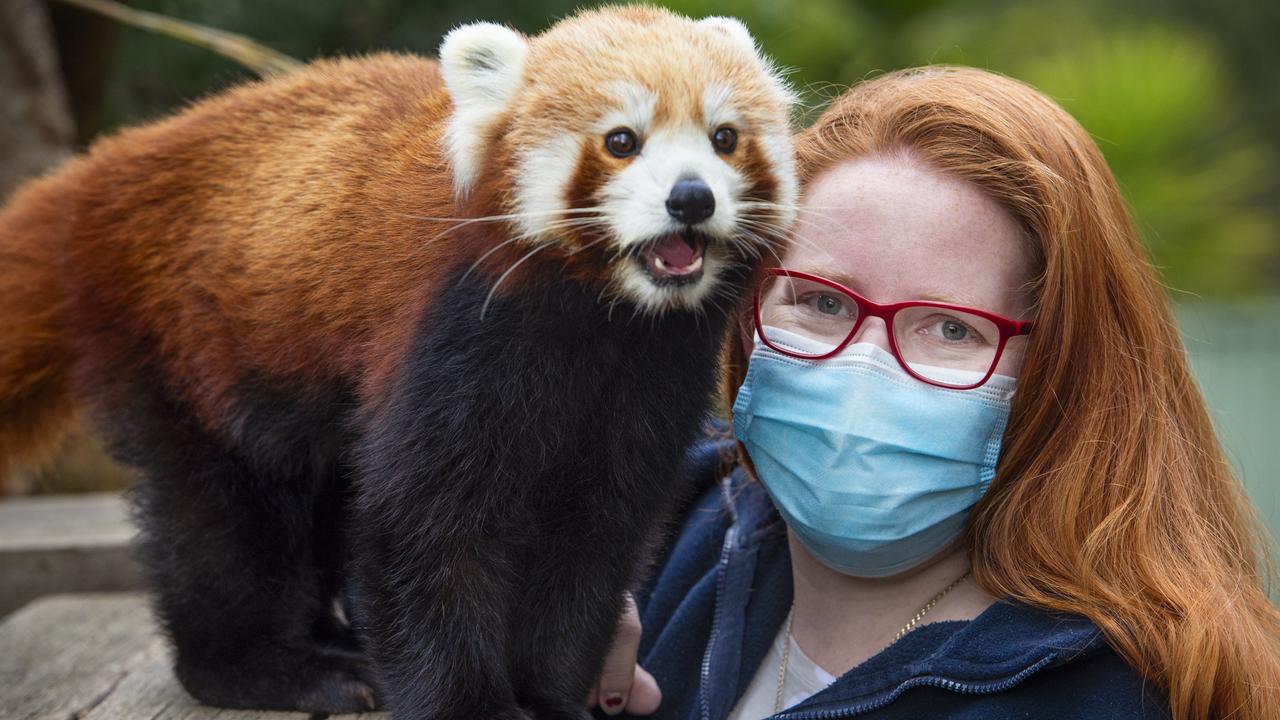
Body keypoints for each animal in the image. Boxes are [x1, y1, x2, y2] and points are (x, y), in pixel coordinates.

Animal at [0, 4, 793, 712]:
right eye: (622, 140)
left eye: (725, 138)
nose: (690, 198)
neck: (604, 322)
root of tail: (104, 168)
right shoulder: (450, 339)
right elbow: (421, 534)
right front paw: (470, 705)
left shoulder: (647, 386)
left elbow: (590, 547)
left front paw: (550, 695)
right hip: (187, 346)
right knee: (221, 521)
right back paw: (270, 667)